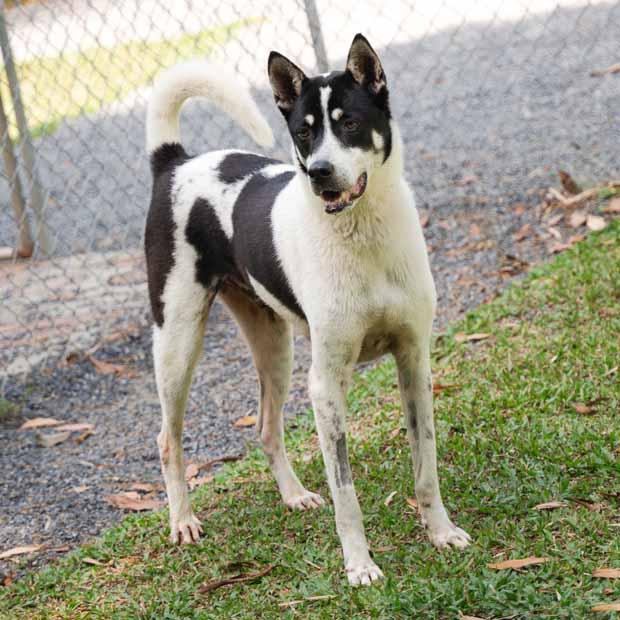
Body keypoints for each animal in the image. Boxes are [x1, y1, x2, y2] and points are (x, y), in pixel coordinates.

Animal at [144, 34, 471, 586]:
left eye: (350, 123)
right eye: (304, 132)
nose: (319, 173)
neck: (363, 237)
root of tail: (175, 163)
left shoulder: (414, 361)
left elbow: (425, 465)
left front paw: (441, 532)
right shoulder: (326, 384)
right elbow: (346, 493)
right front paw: (360, 565)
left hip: (274, 345)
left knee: (265, 427)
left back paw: (294, 495)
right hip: (178, 340)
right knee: (169, 439)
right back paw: (183, 520)